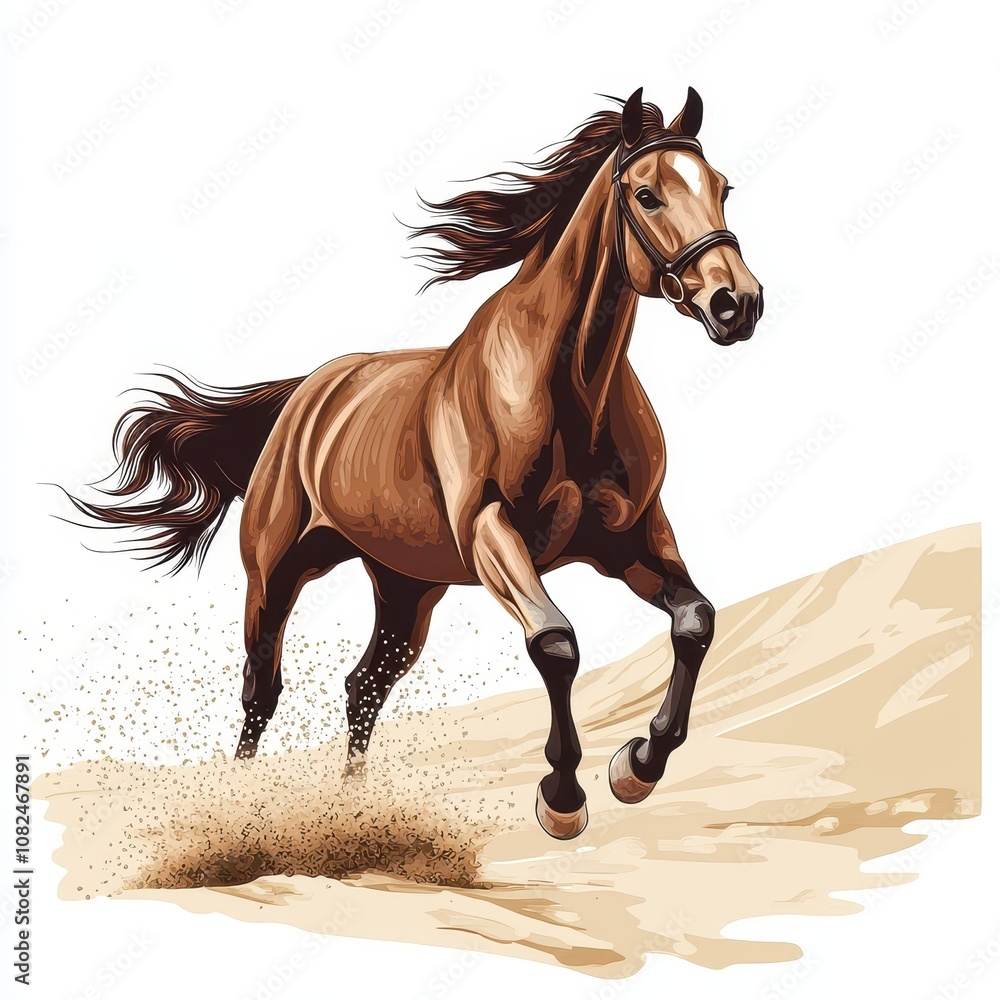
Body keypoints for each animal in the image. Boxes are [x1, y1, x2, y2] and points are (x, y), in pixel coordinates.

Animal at [67, 87, 762, 840]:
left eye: (723, 187)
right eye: (646, 194)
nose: (737, 303)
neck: (567, 389)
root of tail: (308, 394)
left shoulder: (631, 541)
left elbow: (696, 621)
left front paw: (637, 766)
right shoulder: (492, 534)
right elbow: (556, 643)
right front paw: (563, 798)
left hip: (407, 590)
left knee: (363, 687)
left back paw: (353, 815)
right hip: (277, 573)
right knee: (262, 687)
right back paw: (243, 813)